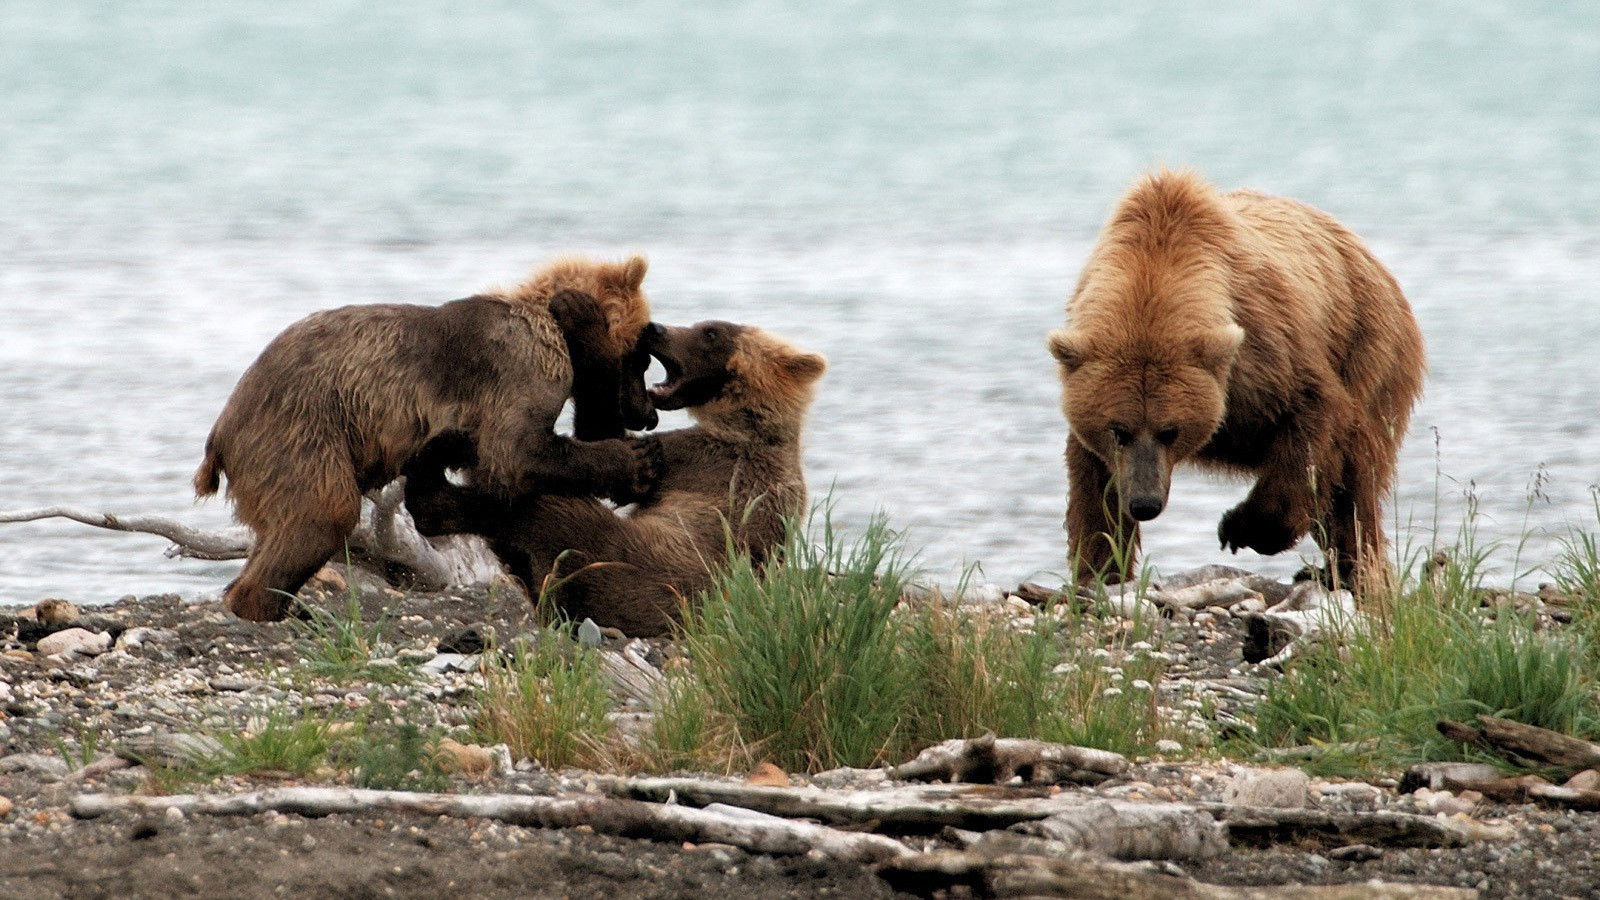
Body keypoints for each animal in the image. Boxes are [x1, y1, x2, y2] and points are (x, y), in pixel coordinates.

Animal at [194, 255, 663, 623]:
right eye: (640, 358)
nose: (647, 415)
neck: (552, 329)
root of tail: (220, 430)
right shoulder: (516, 370)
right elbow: (516, 454)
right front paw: (633, 461)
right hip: (301, 428)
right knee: (322, 511)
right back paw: (268, 608)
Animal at [403, 319, 827, 636]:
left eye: (711, 332)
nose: (656, 328)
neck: (748, 424)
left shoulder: (704, 461)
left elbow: (613, 450)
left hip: (633, 565)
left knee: (548, 513)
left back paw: (433, 488)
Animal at [1047, 169, 1425, 596]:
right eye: (1118, 430)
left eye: (1170, 430)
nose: (1145, 503)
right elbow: (1094, 487)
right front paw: (1099, 568)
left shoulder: (1261, 355)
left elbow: (1312, 423)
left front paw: (1240, 528)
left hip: (1370, 346)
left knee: (1355, 485)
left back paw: (1356, 572)